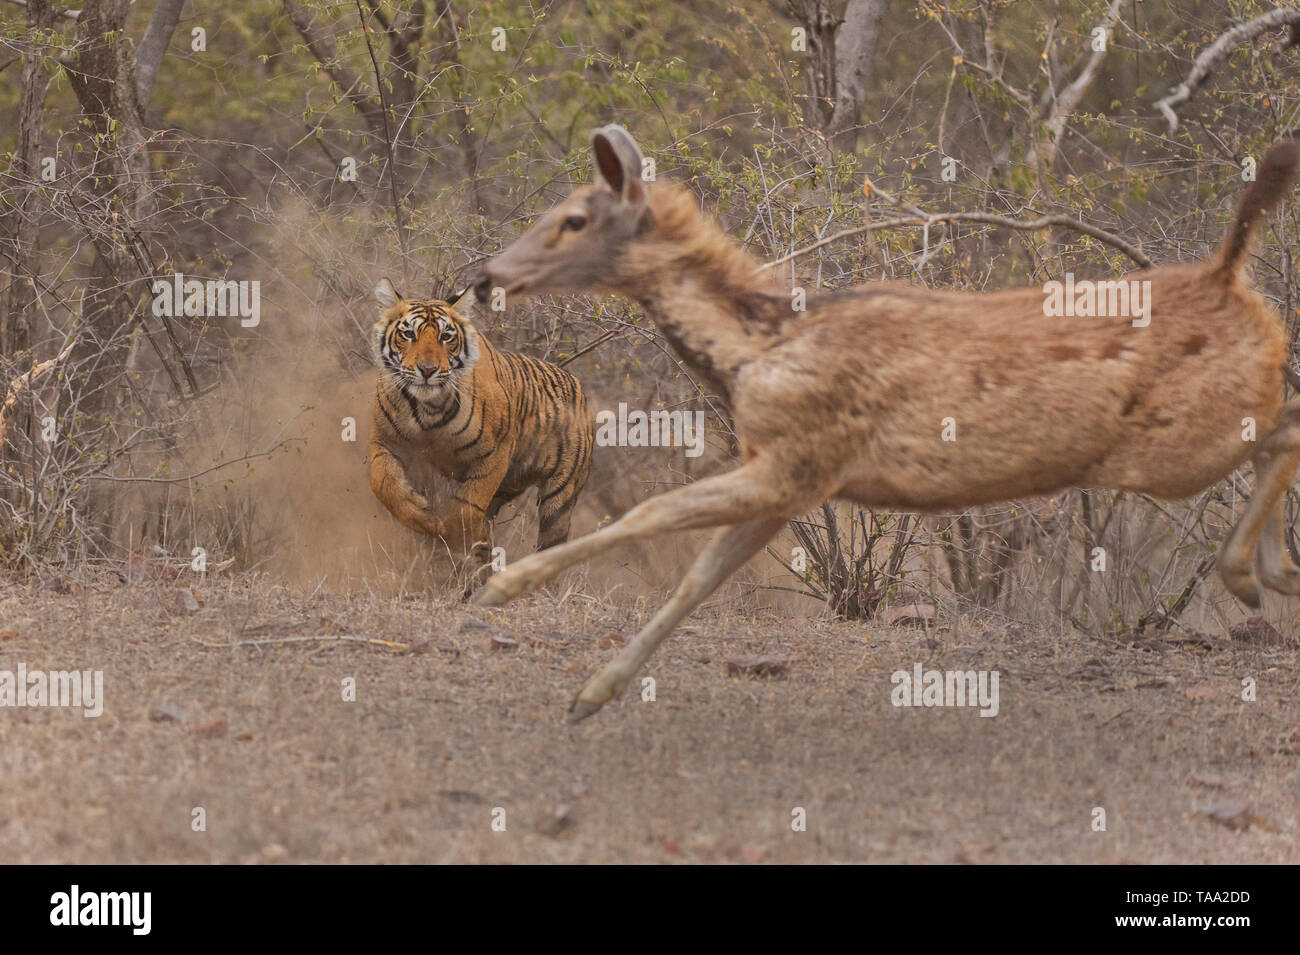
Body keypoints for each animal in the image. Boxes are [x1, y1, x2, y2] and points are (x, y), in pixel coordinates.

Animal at [371, 278, 595, 589]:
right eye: (408, 334)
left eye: (446, 337)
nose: (427, 370)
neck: (428, 409)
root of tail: (576, 383)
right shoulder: (386, 441)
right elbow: (384, 484)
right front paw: (423, 516)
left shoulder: (494, 454)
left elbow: (466, 508)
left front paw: (447, 537)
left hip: (560, 497)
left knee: (551, 544)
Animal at [473, 128, 1300, 722]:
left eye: (574, 217)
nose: (486, 276)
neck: (754, 347)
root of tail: (1228, 275)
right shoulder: (792, 485)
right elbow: (698, 578)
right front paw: (591, 694)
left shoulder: (798, 458)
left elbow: (649, 513)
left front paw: (506, 587)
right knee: (1286, 422)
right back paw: (1276, 569)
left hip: (1181, 443)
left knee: (1284, 425)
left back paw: (1247, 572)